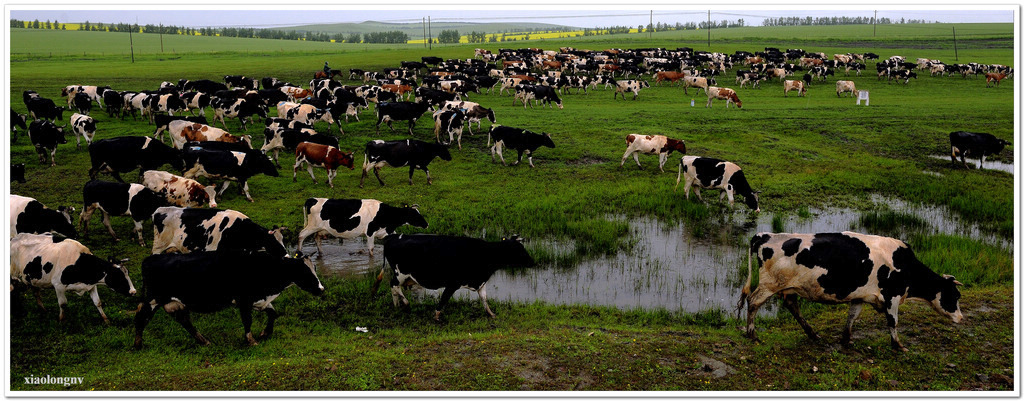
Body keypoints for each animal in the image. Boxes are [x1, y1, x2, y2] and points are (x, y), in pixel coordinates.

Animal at [133, 250, 323, 347]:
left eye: (314, 268)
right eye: (305, 271)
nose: (321, 289)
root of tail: (150, 258)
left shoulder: (260, 300)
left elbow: (273, 314)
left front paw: (265, 333)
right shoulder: (244, 300)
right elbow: (247, 321)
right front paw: (251, 340)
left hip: (174, 302)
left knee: (185, 321)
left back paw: (204, 341)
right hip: (153, 299)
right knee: (141, 318)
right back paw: (138, 344)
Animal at [296, 198, 428, 256]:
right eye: (415, 215)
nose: (426, 224)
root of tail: (313, 199)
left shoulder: (386, 231)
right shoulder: (370, 232)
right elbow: (371, 249)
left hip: (320, 229)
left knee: (317, 238)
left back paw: (321, 253)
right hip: (312, 225)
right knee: (301, 235)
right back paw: (299, 252)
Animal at [376, 233, 536, 321]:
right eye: (519, 249)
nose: (532, 261)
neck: (484, 253)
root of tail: (394, 236)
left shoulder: (480, 282)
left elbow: (484, 299)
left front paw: (491, 314)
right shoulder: (453, 283)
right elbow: (444, 298)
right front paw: (437, 316)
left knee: (393, 288)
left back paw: (397, 305)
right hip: (400, 274)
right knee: (394, 286)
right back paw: (405, 302)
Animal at [741, 232, 962, 351]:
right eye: (955, 295)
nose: (961, 318)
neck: (905, 264)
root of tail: (765, 235)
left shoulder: (861, 296)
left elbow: (852, 316)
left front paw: (846, 339)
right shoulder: (892, 295)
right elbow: (893, 322)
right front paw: (898, 346)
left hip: (788, 287)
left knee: (792, 306)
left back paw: (813, 334)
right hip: (769, 285)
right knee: (753, 302)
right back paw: (752, 334)